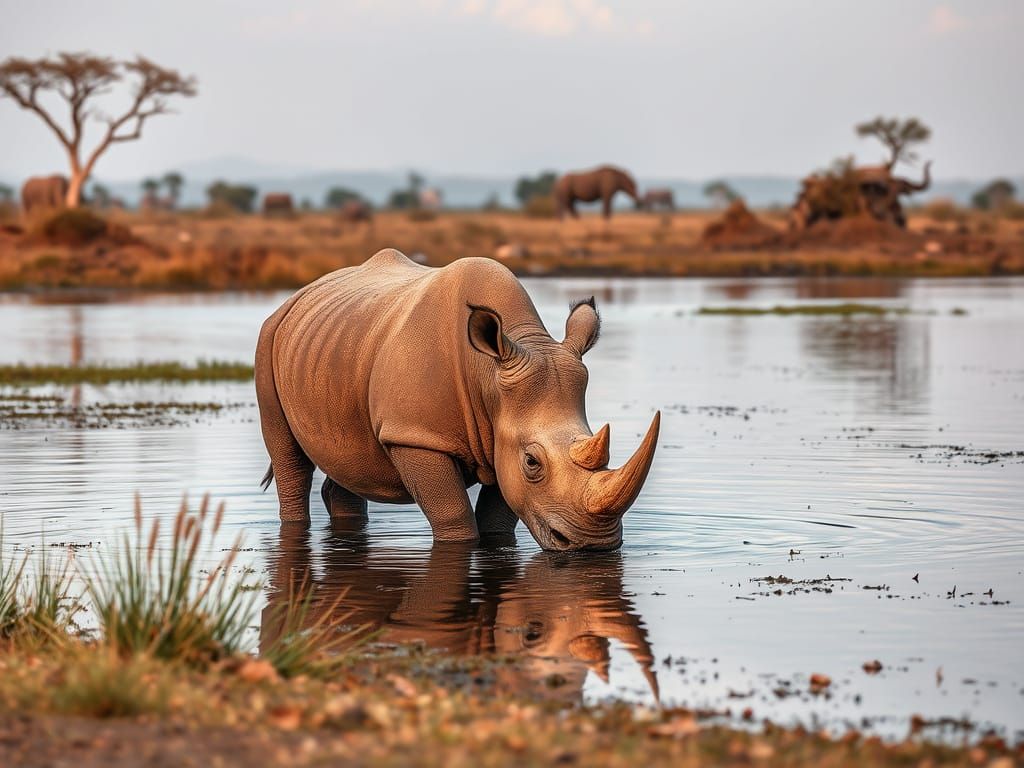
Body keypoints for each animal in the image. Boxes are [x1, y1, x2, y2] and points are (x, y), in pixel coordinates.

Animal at [255, 249, 660, 551]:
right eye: (532, 462)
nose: (594, 544)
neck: (489, 375)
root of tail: (298, 295)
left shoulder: (501, 436)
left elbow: (499, 515)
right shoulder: (416, 435)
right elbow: (453, 513)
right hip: (269, 338)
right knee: (290, 459)